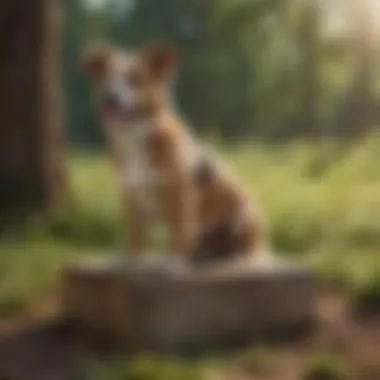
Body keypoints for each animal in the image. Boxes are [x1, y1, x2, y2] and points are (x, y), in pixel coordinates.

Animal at [80, 43, 264, 266]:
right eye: (106, 79)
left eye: (135, 78)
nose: (110, 99)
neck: (138, 136)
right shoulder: (131, 197)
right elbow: (136, 238)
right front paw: (132, 261)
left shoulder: (182, 197)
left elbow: (178, 236)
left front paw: (174, 263)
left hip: (242, 218)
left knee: (245, 249)